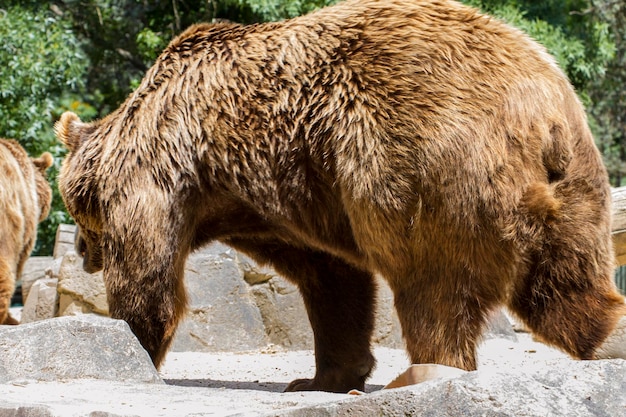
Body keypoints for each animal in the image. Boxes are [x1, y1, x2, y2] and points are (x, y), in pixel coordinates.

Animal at [54, 0, 624, 392]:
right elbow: (332, 279)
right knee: (565, 291)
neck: (218, 195)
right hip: (575, 187)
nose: (80, 252)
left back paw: (427, 369)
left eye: (80, 215)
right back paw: (609, 336)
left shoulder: (158, 176)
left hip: (424, 167)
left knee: (433, 281)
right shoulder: (287, 200)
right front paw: (321, 376)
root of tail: (540, 110)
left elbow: (146, 279)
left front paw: (131, 346)